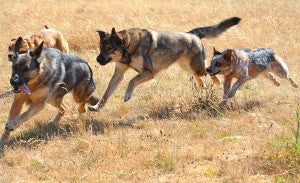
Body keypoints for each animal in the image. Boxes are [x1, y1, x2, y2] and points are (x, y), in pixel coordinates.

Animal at [88, 16, 241, 111]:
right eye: (101, 48)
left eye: (109, 48)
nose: (97, 59)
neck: (129, 46)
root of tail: (192, 34)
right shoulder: (119, 74)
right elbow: (106, 93)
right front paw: (96, 108)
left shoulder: (149, 72)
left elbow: (132, 81)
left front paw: (127, 95)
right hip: (188, 68)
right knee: (201, 80)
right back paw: (205, 88)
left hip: (197, 68)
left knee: (211, 74)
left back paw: (216, 83)